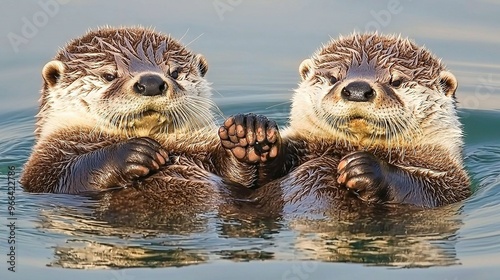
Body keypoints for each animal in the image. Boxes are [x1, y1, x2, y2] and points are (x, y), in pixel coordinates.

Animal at [21, 26, 276, 206]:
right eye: (108, 75)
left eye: (174, 72)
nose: (151, 82)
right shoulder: (42, 167)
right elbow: (70, 175)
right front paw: (135, 152)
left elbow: (236, 177)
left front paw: (247, 134)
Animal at [221, 32, 470, 213]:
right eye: (333, 77)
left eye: (396, 81)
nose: (358, 89)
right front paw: (251, 134)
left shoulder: (452, 182)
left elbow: (426, 190)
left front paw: (364, 168)